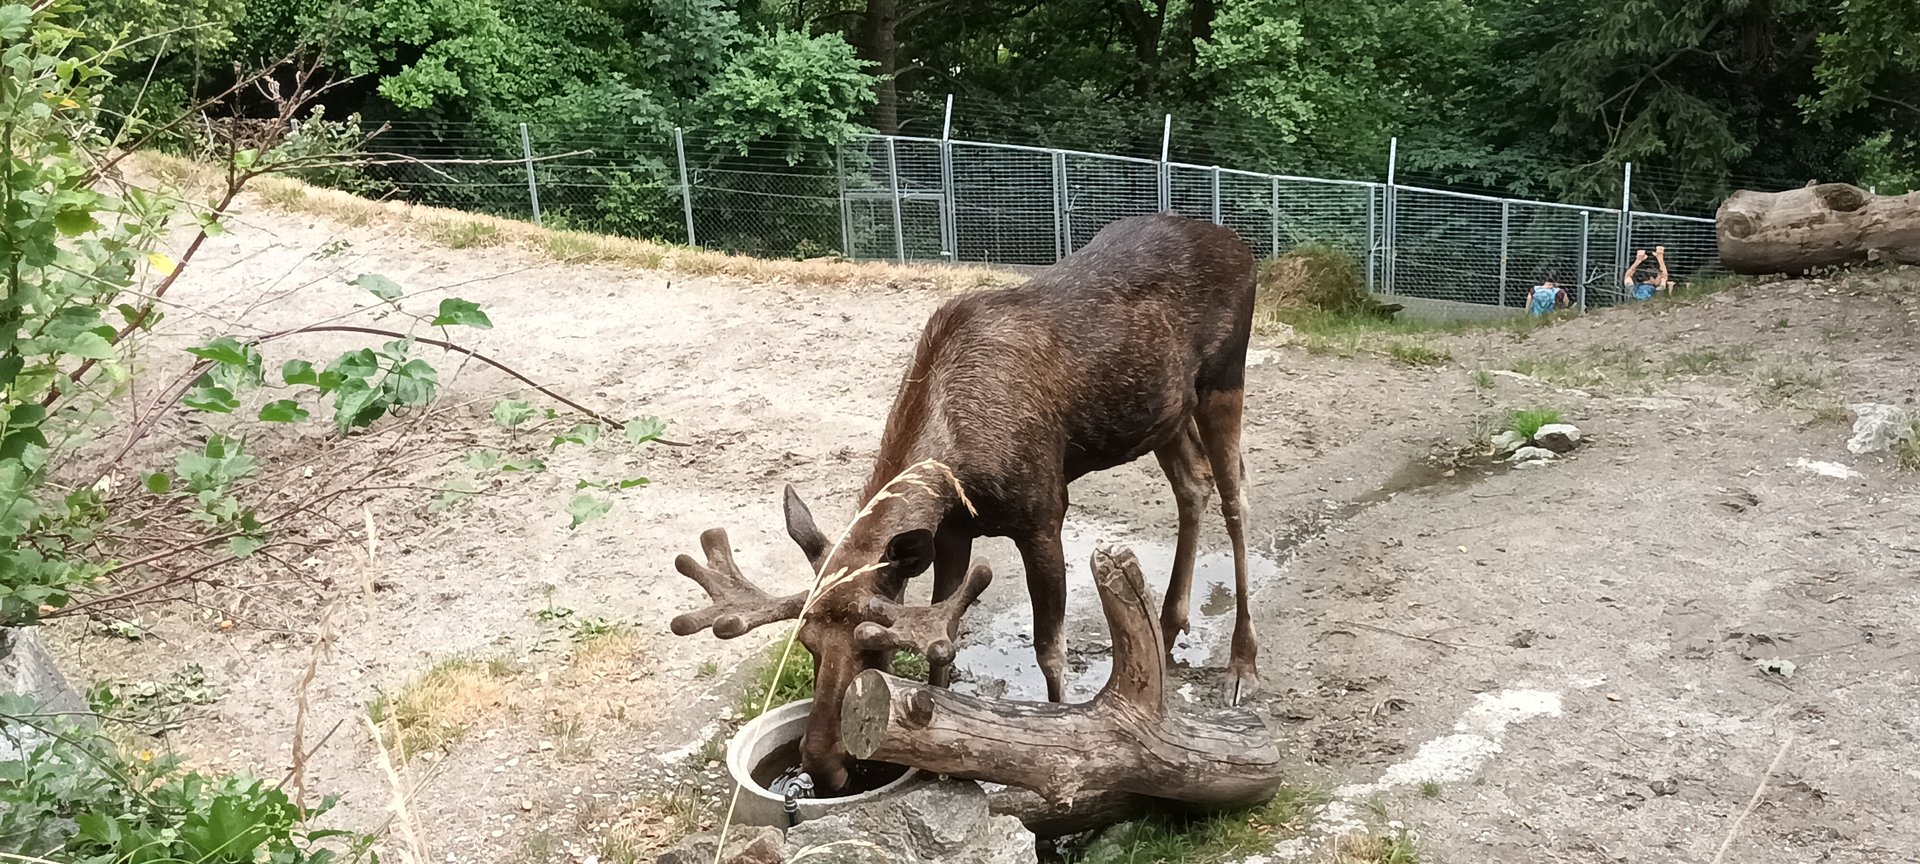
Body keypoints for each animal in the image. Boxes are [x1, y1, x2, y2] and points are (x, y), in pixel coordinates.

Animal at [669, 212, 1260, 794]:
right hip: (1166, 415)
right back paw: (1168, 624)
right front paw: (935, 759)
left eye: (873, 650)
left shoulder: (1045, 514)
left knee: (1236, 496)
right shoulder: (951, 532)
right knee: (1193, 483)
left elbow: (1050, 649)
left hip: (1225, 379)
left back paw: (1242, 664)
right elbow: (945, 636)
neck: (961, 468)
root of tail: (1240, 244)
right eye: (808, 644)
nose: (819, 766)